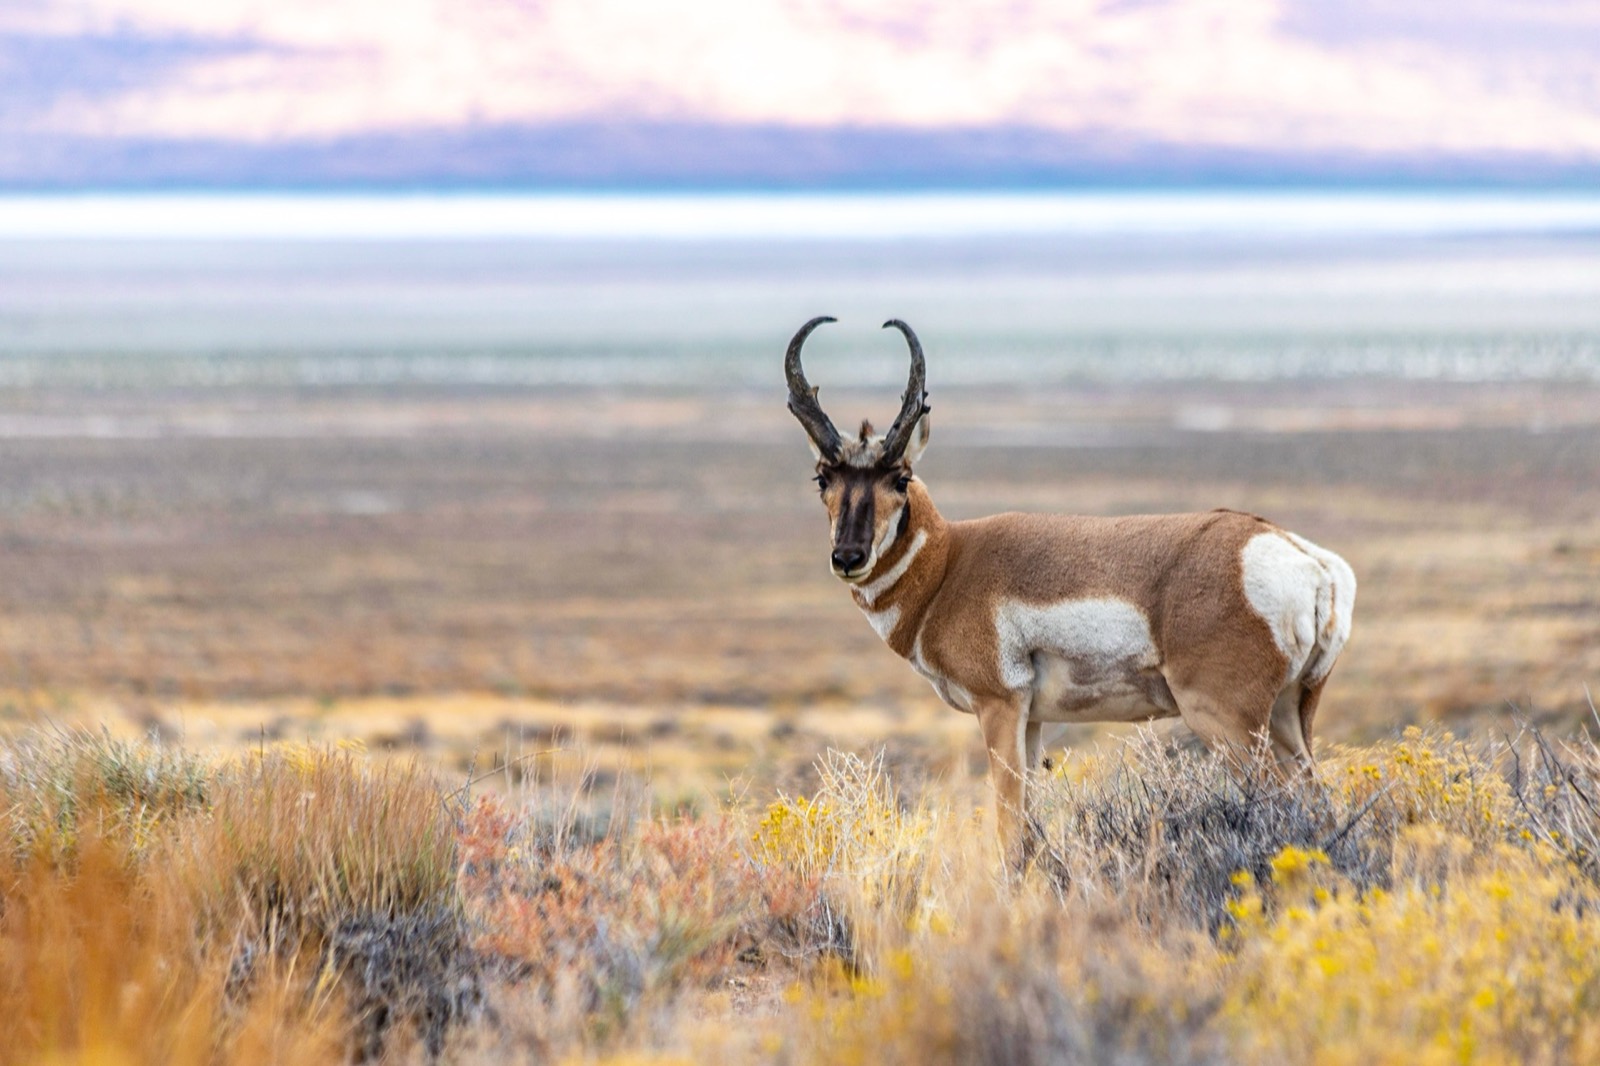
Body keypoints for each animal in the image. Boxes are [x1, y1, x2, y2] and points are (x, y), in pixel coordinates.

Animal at [784, 316, 1357, 862]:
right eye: (822, 478)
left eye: (900, 478)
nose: (848, 558)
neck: (950, 564)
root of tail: (1307, 560)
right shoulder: (1033, 721)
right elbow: (1028, 828)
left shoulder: (999, 708)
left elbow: (1010, 832)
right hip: (1288, 720)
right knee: (1320, 805)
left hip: (1226, 723)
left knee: (1284, 805)